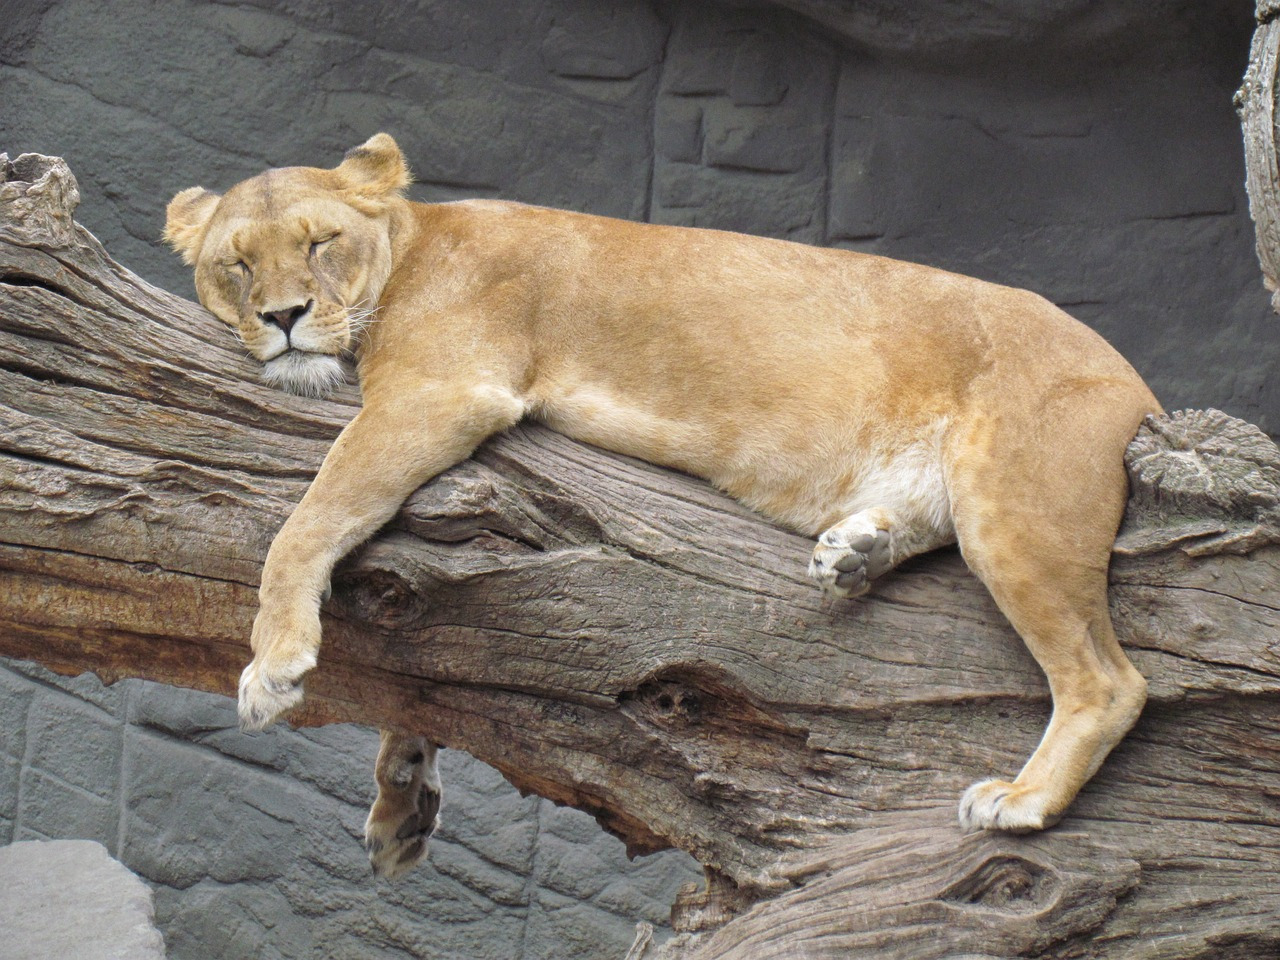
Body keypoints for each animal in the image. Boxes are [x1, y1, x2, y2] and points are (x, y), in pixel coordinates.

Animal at [165, 133, 1159, 880]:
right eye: (236, 265)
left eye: (319, 243)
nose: (284, 317)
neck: (410, 245)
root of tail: (1135, 379)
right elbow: (423, 668)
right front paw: (402, 799)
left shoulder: (442, 392)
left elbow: (307, 521)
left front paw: (273, 667)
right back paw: (856, 553)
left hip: (1016, 508)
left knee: (1109, 681)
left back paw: (1023, 801)